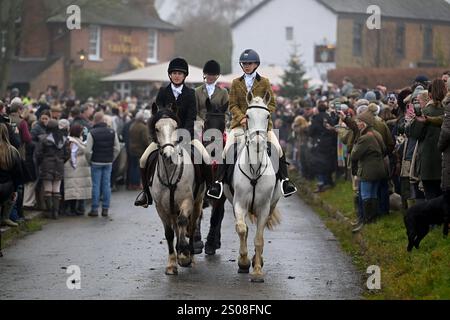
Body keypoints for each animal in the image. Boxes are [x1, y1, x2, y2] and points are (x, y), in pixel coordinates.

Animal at [148, 104, 206, 276]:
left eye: (175, 127)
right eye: (157, 128)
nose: (169, 154)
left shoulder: (187, 201)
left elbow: (183, 222)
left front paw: (184, 254)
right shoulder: (161, 207)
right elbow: (169, 233)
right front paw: (172, 264)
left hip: (197, 202)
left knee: (191, 226)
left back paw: (190, 257)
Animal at [224, 92, 284, 282]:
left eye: (268, 116)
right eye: (247, 116)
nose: (257, 142)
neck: (255, 167)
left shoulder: (264, 207)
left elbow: (259, 238)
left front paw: (257, 270)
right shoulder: (239, 203)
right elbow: (242, 229)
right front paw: (243, 262)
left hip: (271, 205)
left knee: (261, 231)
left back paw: (260, 260)